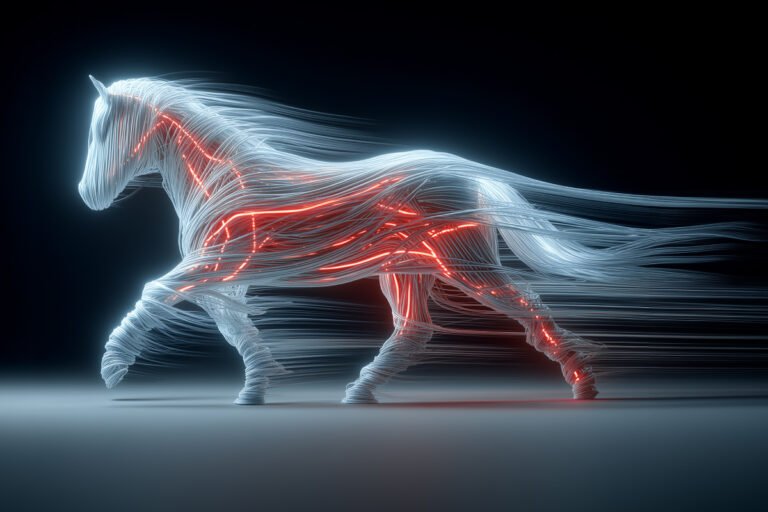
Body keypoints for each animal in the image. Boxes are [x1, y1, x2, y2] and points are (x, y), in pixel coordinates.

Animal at [79, 76, 763, 404]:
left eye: (99, 128)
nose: (86, 196)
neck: (221, 175)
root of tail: (472, 175)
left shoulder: (214, 262)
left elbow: (153, 294)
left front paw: (113, 367)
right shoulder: (224, 274)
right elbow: (234, 327)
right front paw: (257, 386)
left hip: (464, 265)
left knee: (528, 309)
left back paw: (584, 386)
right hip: (409, 269)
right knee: (415, 329)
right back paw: (359, 391)